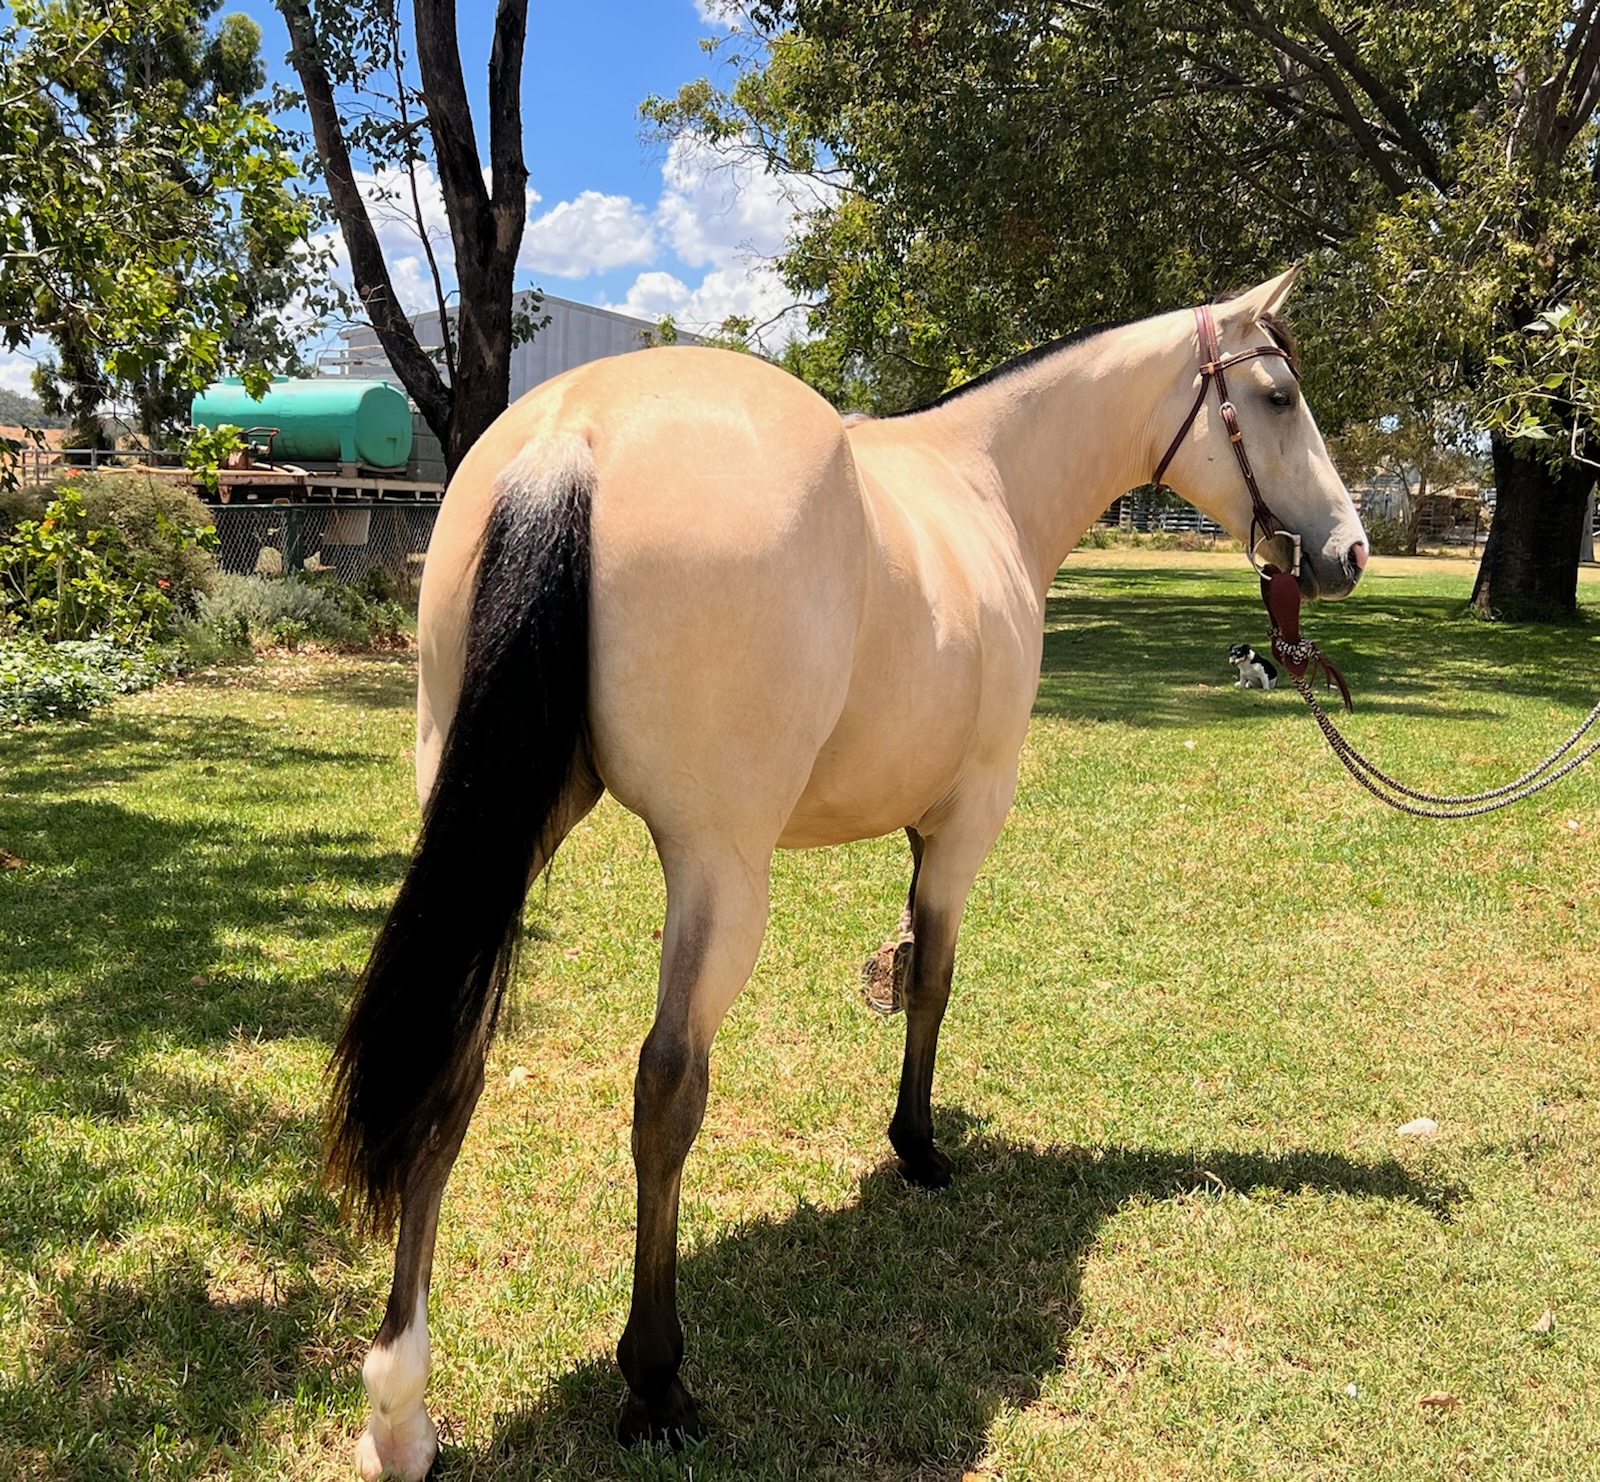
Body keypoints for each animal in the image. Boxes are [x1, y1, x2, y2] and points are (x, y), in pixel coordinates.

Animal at [329, 266, 1368, 1480]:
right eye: (1280, 395)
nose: (1348, 551)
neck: (984, 481)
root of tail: (569, 439)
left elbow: (908, 967)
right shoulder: (966, 821)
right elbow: (933, 981)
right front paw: (917, 1150)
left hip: (496, 826)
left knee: (449, 1063)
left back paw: (400, 1410)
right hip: (720, 868)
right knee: (667, 1085)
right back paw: (657, 1380)